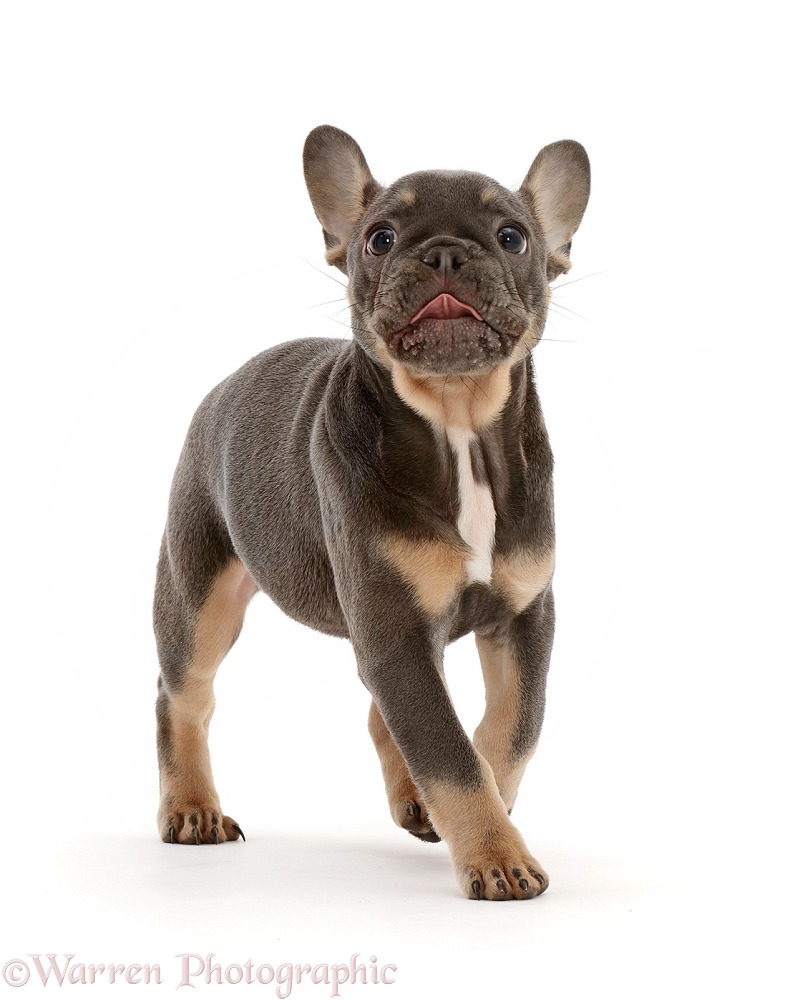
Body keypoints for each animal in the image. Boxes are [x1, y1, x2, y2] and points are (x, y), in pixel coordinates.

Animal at [155, 125, 589, 901]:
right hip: (198, 593)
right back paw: (192, 807)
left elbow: (513, 724)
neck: (458, 426)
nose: (445, 252)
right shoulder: (393, 628)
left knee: (378, 706)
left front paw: (484, 801)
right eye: (380, 239)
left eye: (512, 237)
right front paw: (495, 854)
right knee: (183, 696)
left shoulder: (522, 614)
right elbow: (447, 750)